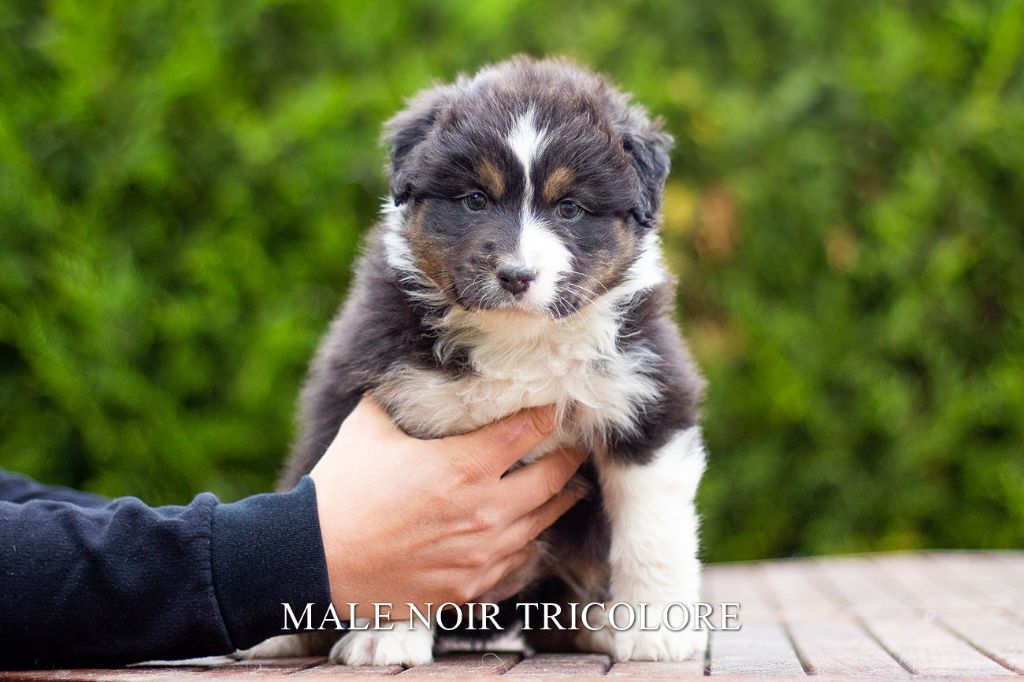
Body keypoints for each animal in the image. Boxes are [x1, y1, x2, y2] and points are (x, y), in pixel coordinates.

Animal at [248, 56, 707, 665]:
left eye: (570, 208)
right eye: (474, 200)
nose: (516, 275)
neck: (519, 339)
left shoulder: (648, 396)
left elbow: (652, 531)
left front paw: (658, 628)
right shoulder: (405, 416)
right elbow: (398, 550)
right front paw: (386, 637)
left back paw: (599, 624)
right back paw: (282, 636)